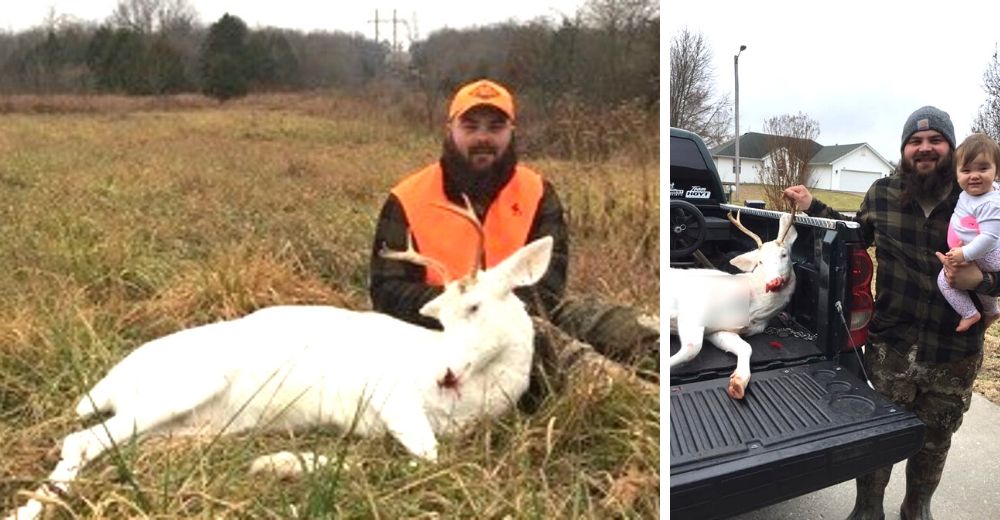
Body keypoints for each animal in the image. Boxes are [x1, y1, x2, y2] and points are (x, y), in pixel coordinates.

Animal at [3, 196, 552, 520]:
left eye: (475, 307)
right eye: (444, 318)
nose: (445, 373)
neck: (470, 403)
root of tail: (108, 382)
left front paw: (282, 463)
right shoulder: (384, 393)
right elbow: (426, 457)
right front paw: (290, 464)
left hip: (190, 424)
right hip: (187, 384)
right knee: (79, 440)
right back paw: (29, 510)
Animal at [668, 209, 800, 400]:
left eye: (784, 254)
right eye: (760, 261)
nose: (773, 282)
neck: (752, 310)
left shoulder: (718, 330)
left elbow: (745, 348)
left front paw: (737, 383)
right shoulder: (692, 308)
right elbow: (692, 348)